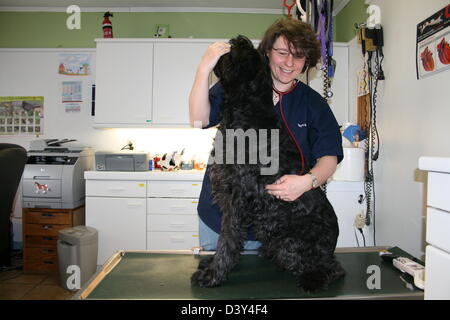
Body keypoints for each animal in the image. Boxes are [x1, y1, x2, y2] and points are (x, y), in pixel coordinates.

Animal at [192, 35, 344, 292]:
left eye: (237, 50)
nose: (229, 43)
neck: (247, 109)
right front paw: (211, 266)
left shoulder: (236, 199)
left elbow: (227, 239)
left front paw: (213, 274)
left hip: (290, 241)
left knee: (334, 268)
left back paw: (313, 278)